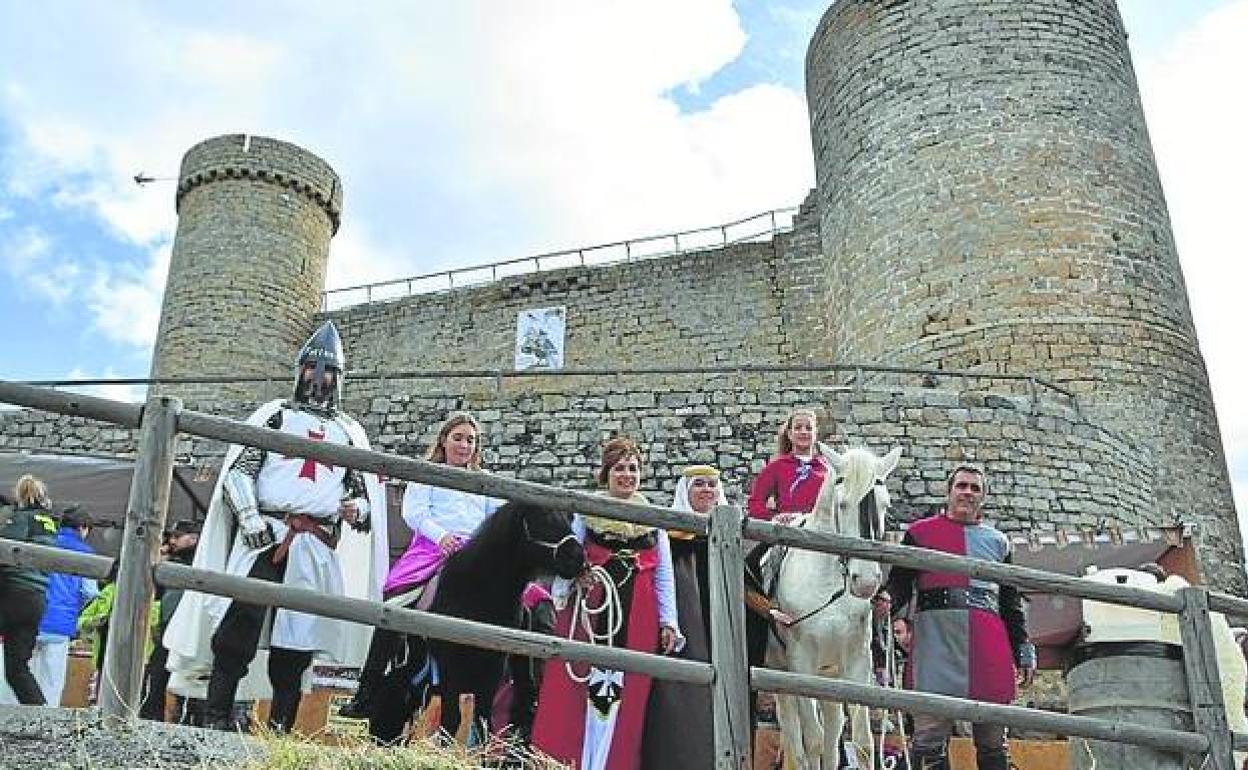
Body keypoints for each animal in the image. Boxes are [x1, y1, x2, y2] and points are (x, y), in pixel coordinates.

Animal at [366, 499, 586, 743]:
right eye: (544, 518)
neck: (476, 591)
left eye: (570, 518)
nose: (578, 558)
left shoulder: (492, 669)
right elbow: (452, 720)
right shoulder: (450, 668)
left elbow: (481, 721)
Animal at [768, 444, 898, 768]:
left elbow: (862, 743)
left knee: (833, 731)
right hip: (780, 672)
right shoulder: (800, 664)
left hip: (829, 674)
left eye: (885, 505)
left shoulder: (856, 662)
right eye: (842, 504)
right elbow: (812, 741)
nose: (866, 580)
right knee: (794, 738)